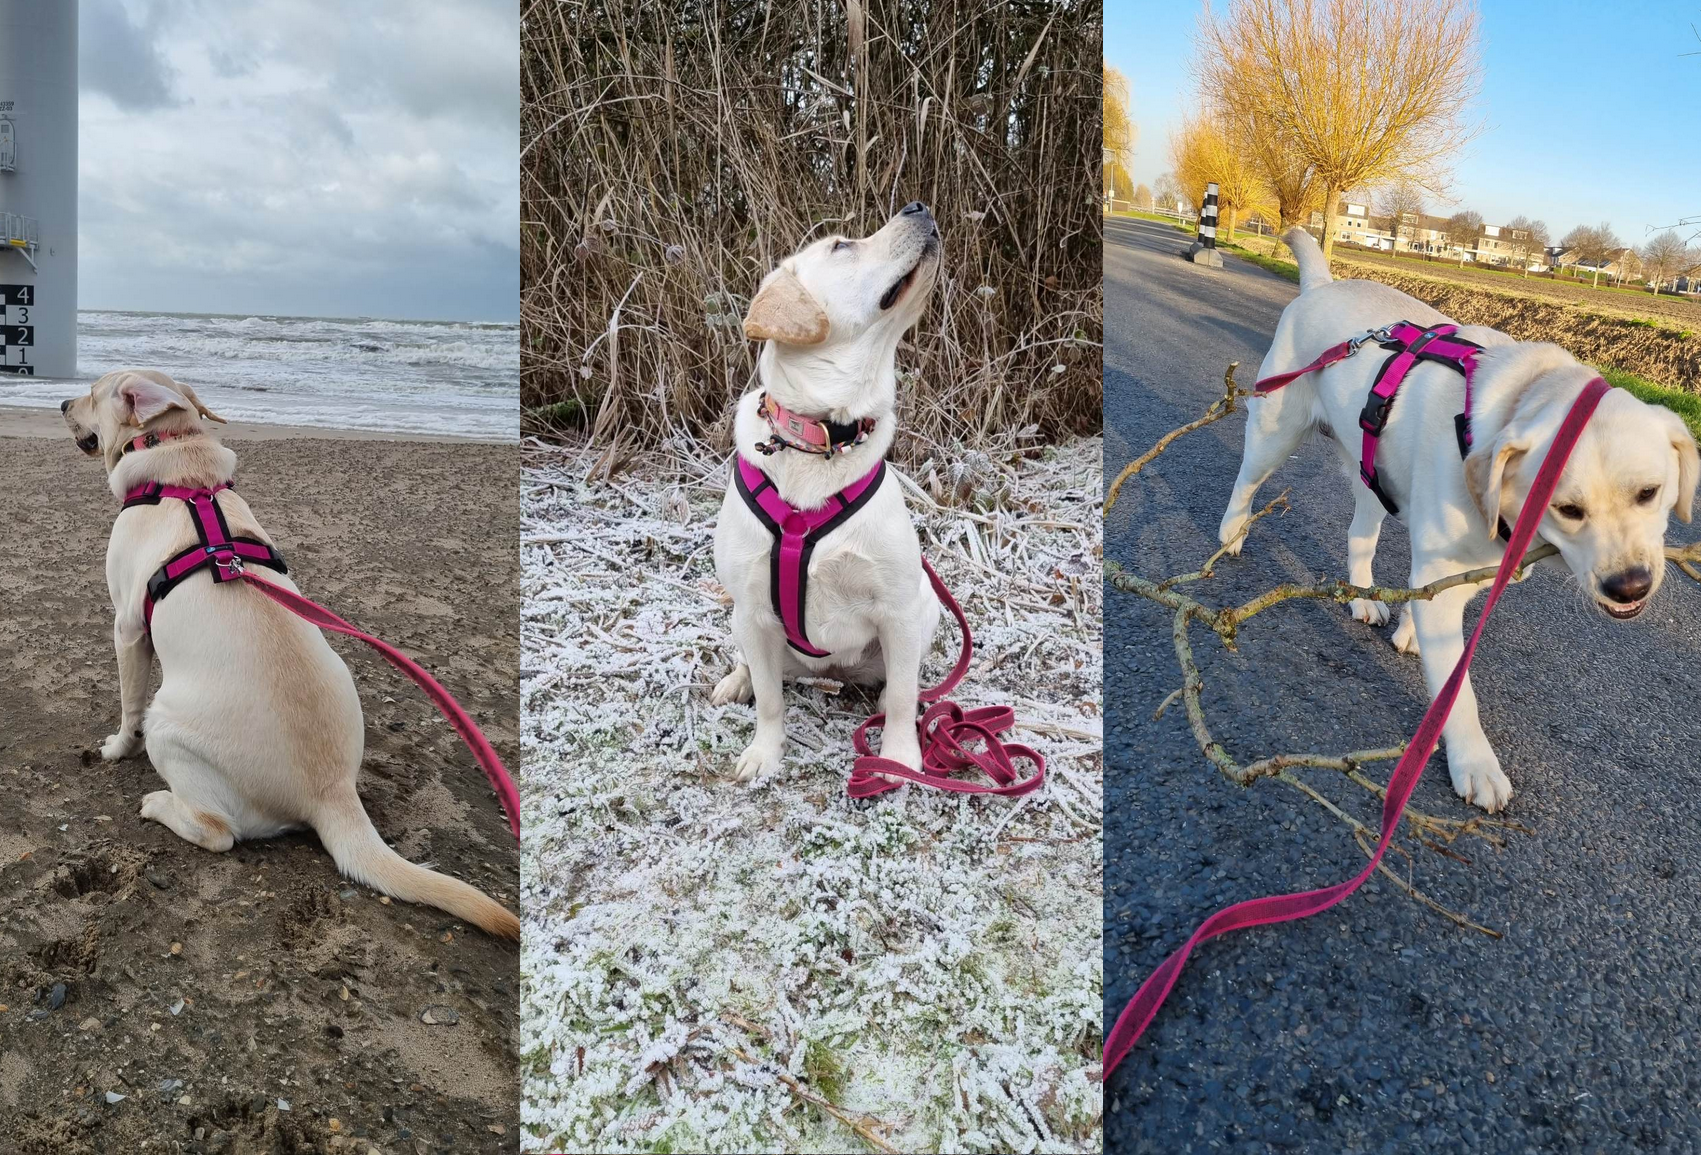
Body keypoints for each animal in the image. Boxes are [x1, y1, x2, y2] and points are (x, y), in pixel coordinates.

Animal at [62, 372, 517, 938]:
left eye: (92, 392)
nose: (62, 402)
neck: (176, 456)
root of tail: (332, 792)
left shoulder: (126, 627)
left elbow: (127, 707)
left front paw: (115, 749)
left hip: (167, 725)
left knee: (218, 831)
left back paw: (160, 803)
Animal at [707, 205, 945, 785]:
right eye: (842, 246)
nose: (918, 207)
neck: (822, 438)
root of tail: (833, 671)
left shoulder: (899, 608)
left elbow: (902, 697)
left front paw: (899, 757)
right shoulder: (753, 611)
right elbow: (771, 699)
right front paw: (765, 754)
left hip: (925, 607)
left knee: (899, 684)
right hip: (740, 620)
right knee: (757, 668)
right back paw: (736, 681)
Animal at [1217, 229, 1694, 813]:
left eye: (1649, 493)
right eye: (1568, 509)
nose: (1630, 586)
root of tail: (1321, 285)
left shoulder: (1476, 564)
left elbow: (1435, 607)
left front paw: (1410, 633)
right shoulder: (1446, 564)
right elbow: (1456, 690)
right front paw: (1475, 762)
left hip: (1373, 470)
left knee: (1359, 535)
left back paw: (1363, 596)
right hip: (1276, 428)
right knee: (1246, 480)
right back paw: (1231, 534)